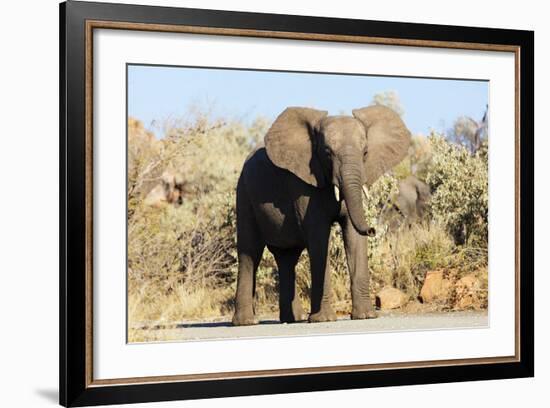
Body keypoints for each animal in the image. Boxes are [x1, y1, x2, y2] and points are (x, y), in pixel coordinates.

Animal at [231, 104, 412, 326]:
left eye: (365, 152)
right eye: (327, 153)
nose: (372, 229)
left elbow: (353, 235)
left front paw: (365, 316)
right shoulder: (302, 184)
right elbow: (319, 238)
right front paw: (324, 320)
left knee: (287, 257)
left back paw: (294, 320)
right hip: (244, 194)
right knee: (250, 253)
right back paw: (247, 322)